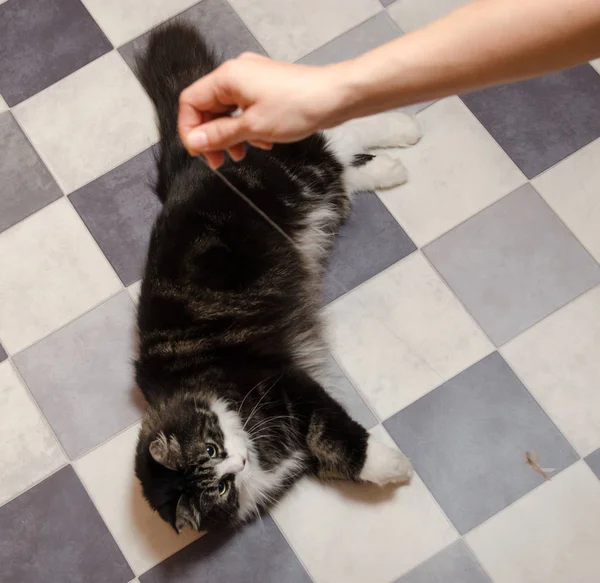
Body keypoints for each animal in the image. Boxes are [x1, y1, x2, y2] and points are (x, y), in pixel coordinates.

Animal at [134, 22, 420, 532]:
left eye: (212, 449)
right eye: (219, 484)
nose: (239, 461)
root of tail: (187, 162)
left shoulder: (286, 384)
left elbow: (336, 435)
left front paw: (390, 466)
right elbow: (331, 456)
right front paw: (381, 469)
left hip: (290, 173)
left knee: (337, 135)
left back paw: (405, 128)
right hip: (310, 191)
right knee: (344, 172)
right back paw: (391, 168)